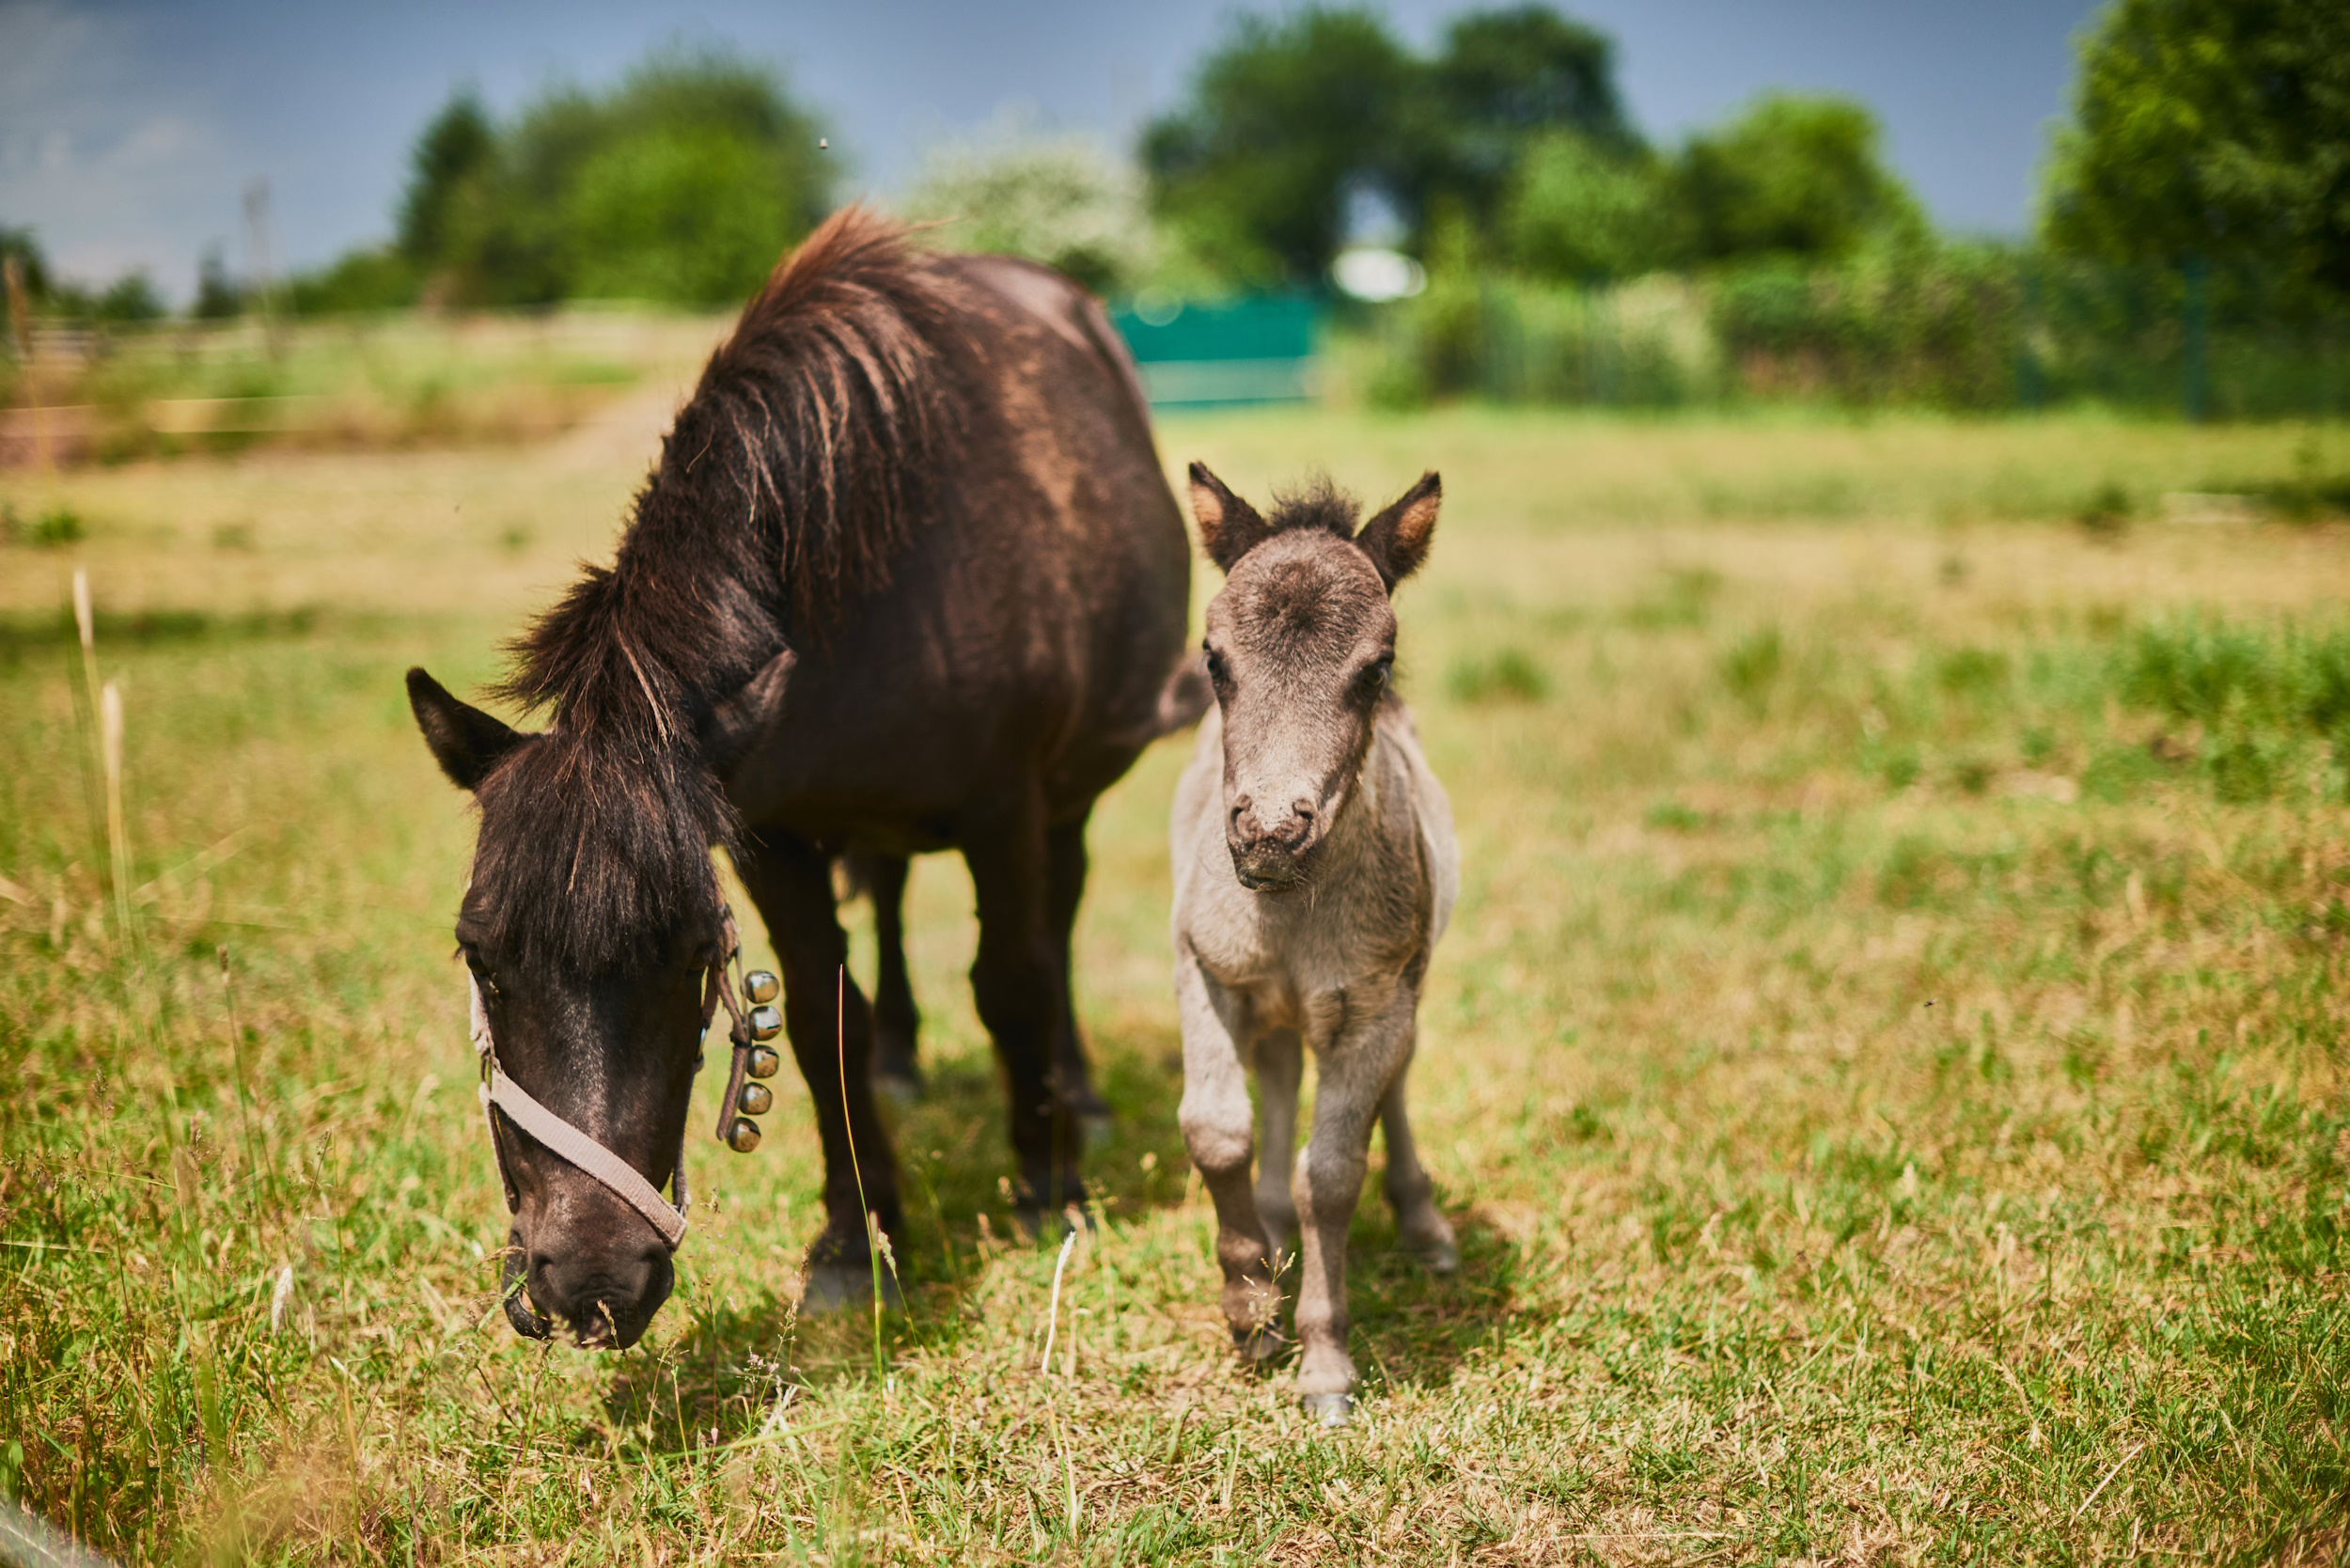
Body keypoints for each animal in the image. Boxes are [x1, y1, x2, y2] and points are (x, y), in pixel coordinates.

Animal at [404, 208, 1194, 1344]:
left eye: (695, 957)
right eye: (480, 955)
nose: (589, 1283)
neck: (873, 591)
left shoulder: (1004, 808)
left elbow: (1012, 980)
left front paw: (1049, 1188)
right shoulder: (772, 833)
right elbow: (827, 1022)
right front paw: (858, 1241)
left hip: (1070, 796)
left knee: (1058, 926)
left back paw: (1075, 1096)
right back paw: (907, 1067)